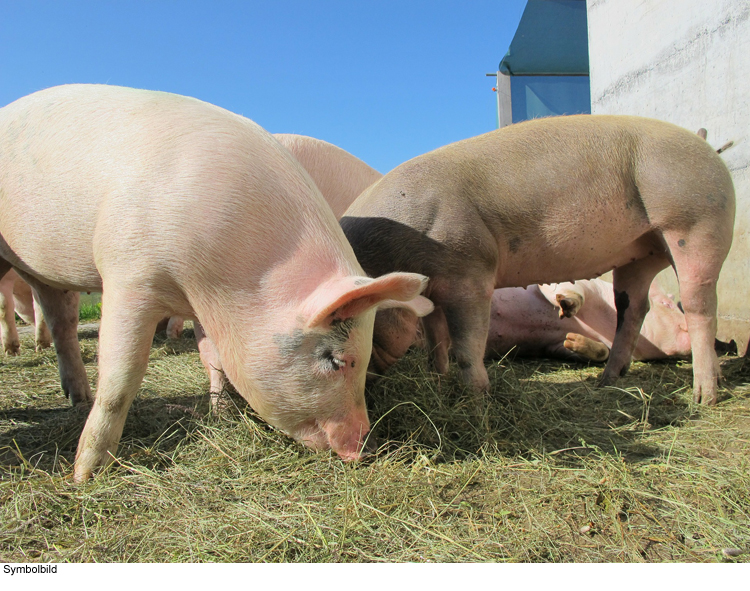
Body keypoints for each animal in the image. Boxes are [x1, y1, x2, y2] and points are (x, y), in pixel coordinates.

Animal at [0, 83, 432, 480]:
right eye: (337, 360)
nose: (366, 447)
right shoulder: (130, 274)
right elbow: (123, 375)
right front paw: (85, 474)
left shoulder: (205, 304)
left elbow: (215, 358)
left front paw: (221, 415)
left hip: (44, 276)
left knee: (61, 316)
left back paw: (76, 396)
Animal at [344, 118, 736, 410]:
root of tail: (704, 145)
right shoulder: (435, 289)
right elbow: (436, 341)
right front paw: (437, 381)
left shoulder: (469, 273)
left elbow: (466, 345)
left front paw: (477, 400)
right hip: (641, 253)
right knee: (633, 308)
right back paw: (607, 380)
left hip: (696, 222)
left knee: (701, 304)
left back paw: (705, 397)